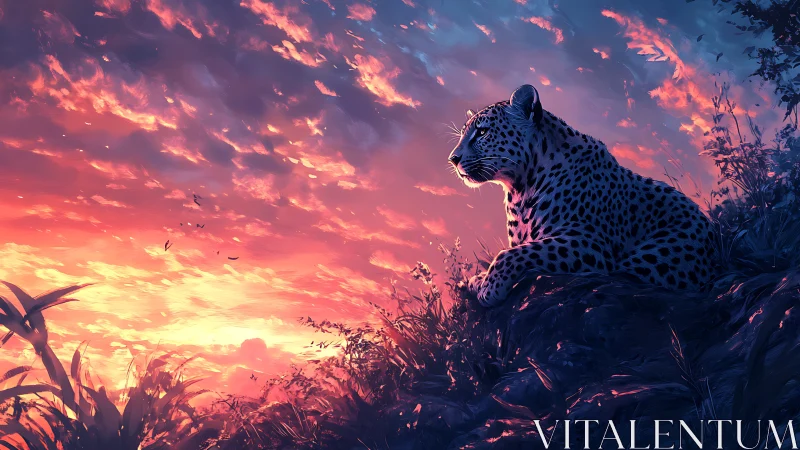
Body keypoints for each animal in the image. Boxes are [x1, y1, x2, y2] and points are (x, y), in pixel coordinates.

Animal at [448, 84, 717, 307]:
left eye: (482, 133)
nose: (453, 158)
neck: (520, 189)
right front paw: (477, 280)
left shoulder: (590, 243)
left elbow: (512, 253)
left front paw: (488, 287)